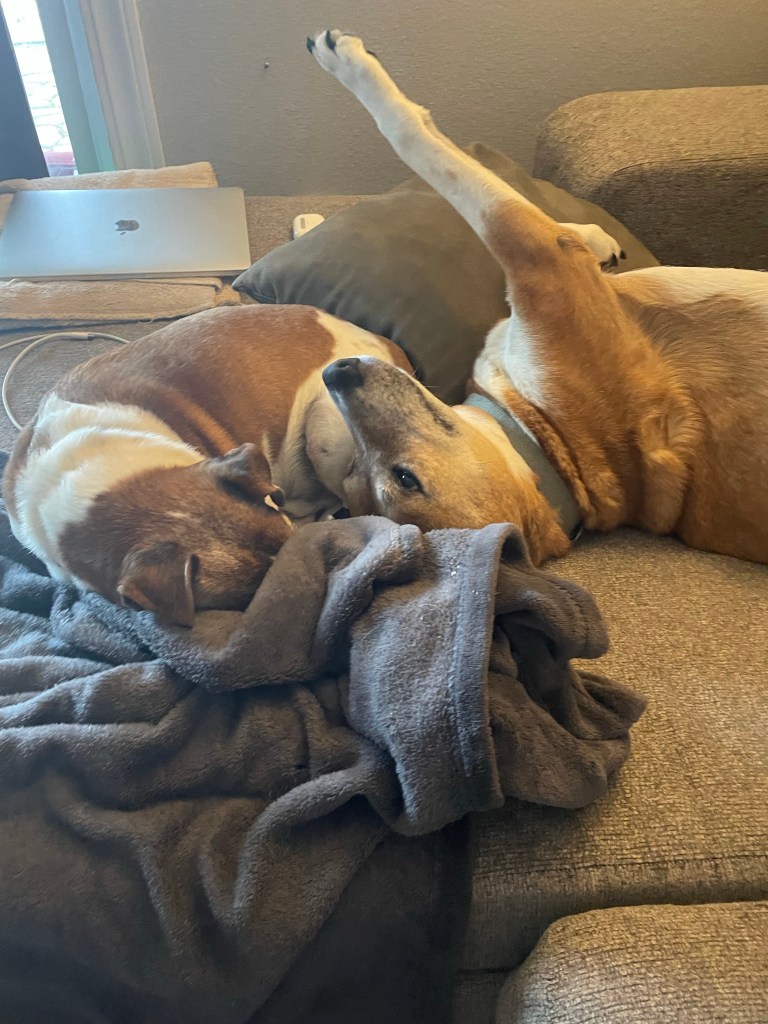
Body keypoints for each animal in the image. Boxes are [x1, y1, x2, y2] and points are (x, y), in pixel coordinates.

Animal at [310, 30, 768, 566]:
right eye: (363, 473)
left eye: (403, 478)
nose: (334, 373)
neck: (548, 445)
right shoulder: (543, 257)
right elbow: (431, 149)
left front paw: (597, 239)